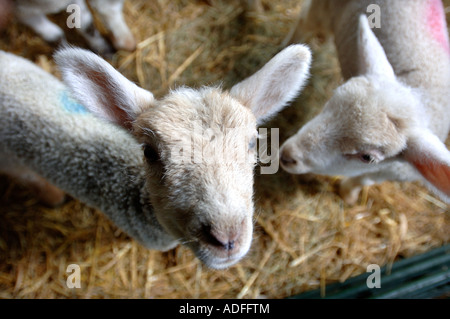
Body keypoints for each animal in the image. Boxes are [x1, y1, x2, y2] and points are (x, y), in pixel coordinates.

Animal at [280, 0, 450, 205]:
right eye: (330, 102)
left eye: (367, 157)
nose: (288, 155)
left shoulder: (390, 172)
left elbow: (363, 180)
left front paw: (349, 195)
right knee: (307, 21)